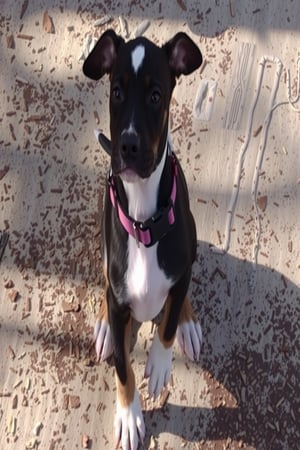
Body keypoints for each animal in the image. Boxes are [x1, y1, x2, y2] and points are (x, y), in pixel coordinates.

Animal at [83, 29, 203, 448]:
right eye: (116, 91)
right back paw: (104, 324)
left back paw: (187, 321)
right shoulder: (121, 303)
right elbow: (123, 369)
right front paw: (129, 415)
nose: (129, 146)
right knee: (104, 280)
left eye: (155, 95)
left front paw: (161, 363)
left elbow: (165, 327)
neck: (143, 220)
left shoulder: (180, 270)